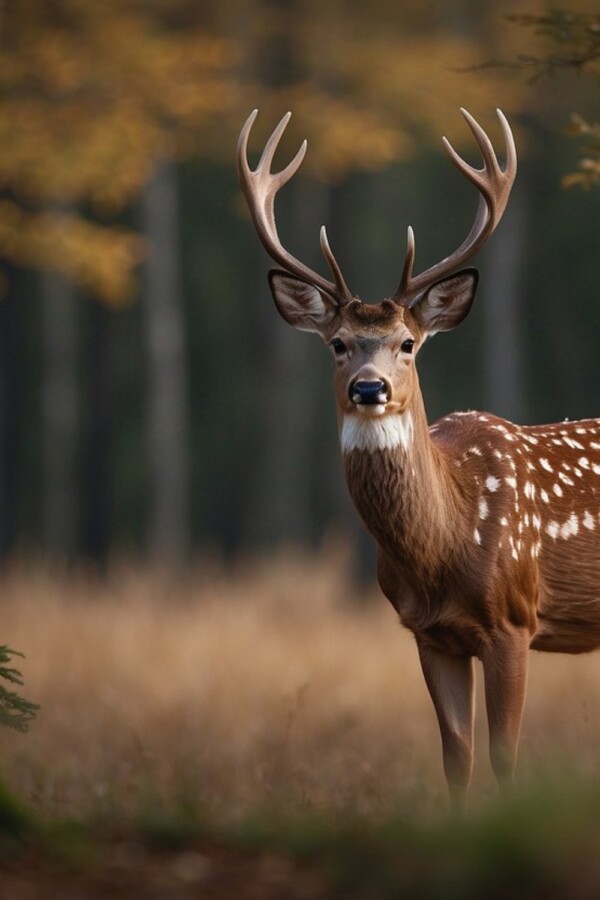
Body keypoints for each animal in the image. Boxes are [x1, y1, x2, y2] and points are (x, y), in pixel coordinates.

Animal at [237, 107, 600, 812]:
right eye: (338, 343)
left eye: (408, 343)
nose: (369, 388)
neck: (445, 543)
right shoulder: (429, 634)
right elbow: (456, 758)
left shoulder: (514, 620)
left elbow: (506, 758)